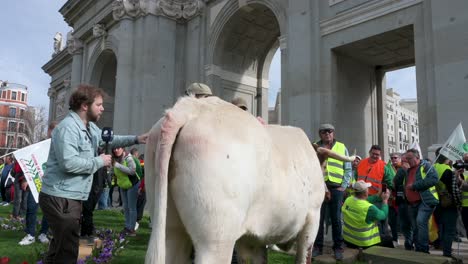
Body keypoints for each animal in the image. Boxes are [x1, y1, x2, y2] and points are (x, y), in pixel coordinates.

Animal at [146, 97, 326, 264]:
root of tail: (192, 107)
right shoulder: (313, 217)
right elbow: (304, 256)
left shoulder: (254, 238)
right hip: (216, 235)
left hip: (169, 227)